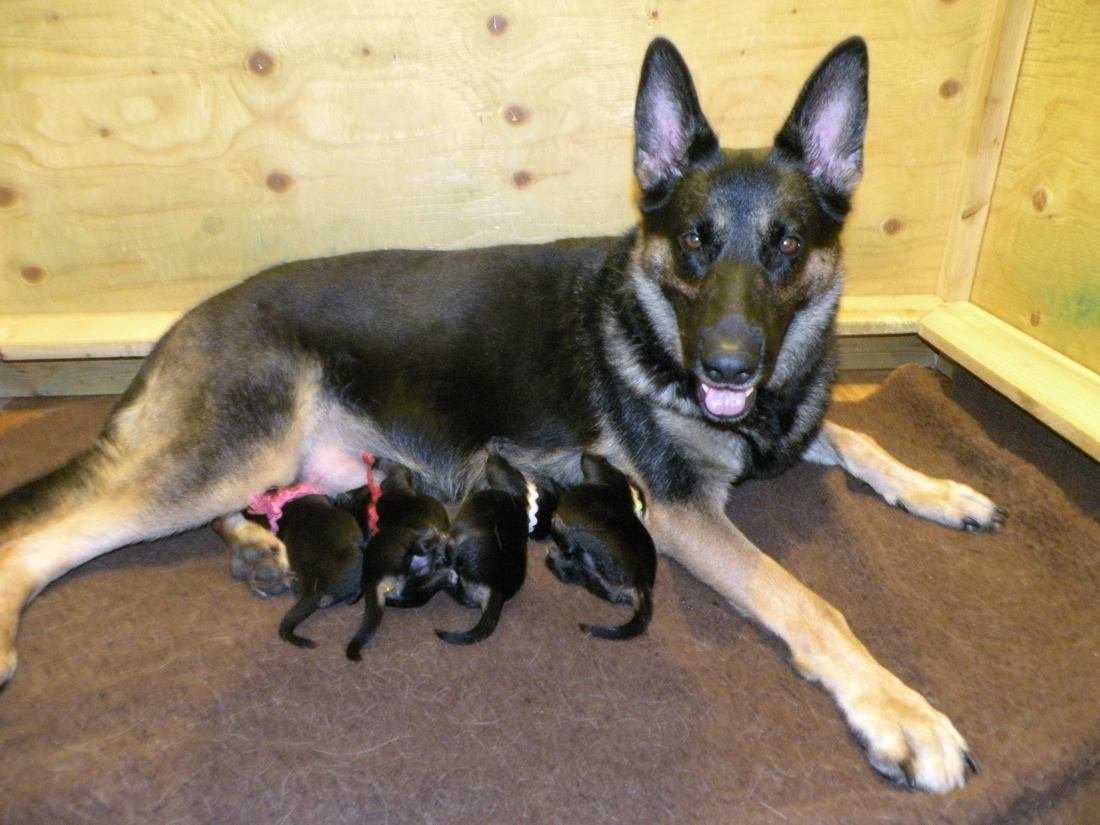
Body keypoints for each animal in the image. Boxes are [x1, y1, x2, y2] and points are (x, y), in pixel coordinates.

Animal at [345, 465, 451, 660]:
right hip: (403, 541)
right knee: (420, 545)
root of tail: (374, 579)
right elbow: (401, 471)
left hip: (412, 586)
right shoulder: (397, 485)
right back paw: (437, 543)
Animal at [546, 453, 656, 640]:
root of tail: (642, 587)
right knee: (572, 572)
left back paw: (558, 531)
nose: (587, 454)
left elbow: (561, 488)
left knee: (570, 544)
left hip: (592, 540)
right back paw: (557, 559)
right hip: (598, 582)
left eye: (605, 461)